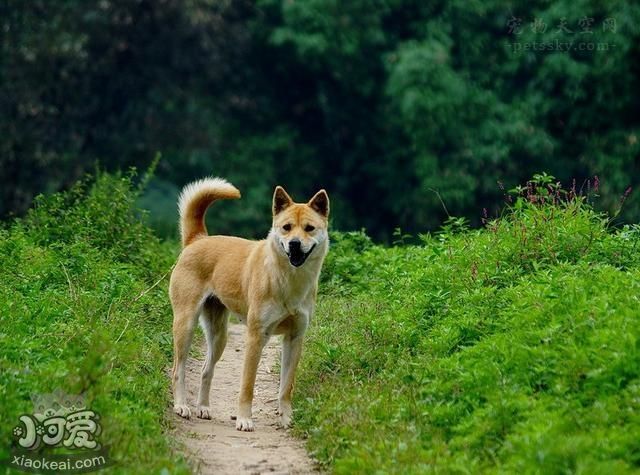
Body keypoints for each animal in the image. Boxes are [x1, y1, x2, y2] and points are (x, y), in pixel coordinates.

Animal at [170, 178, 330, 432]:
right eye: (286, 227)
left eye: (309, 228)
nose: (294, 244)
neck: (288, 280)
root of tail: (198, 239)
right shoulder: (256, 337)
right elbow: (247, 385)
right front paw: (244, 419)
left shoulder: (294, 338)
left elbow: (286, 387)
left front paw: (286, 418)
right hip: (185, 325)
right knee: (178, 369)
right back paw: (181, 406)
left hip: (219, 336)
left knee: (206, 369)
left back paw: (203, 408)